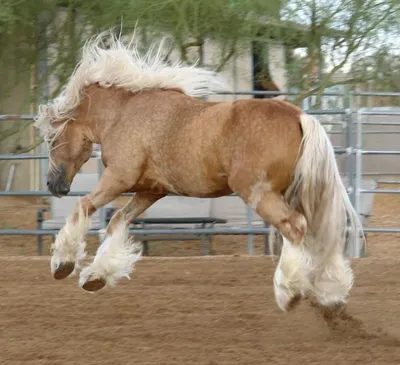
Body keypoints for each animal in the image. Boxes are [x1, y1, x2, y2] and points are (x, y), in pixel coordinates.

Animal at [36, 29, 364, 312]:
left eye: (52, 138)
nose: (53, 184)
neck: (123, 114)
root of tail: (298, 116)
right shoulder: (149, 191)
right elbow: (117, 221)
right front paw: (96, 277)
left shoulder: (118, 178)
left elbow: (84, 206)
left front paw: (62, 264)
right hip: (300, 195)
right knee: (320, 235)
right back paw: (330, 295)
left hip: (259, 194)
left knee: (294, 227)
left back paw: (289, 292)